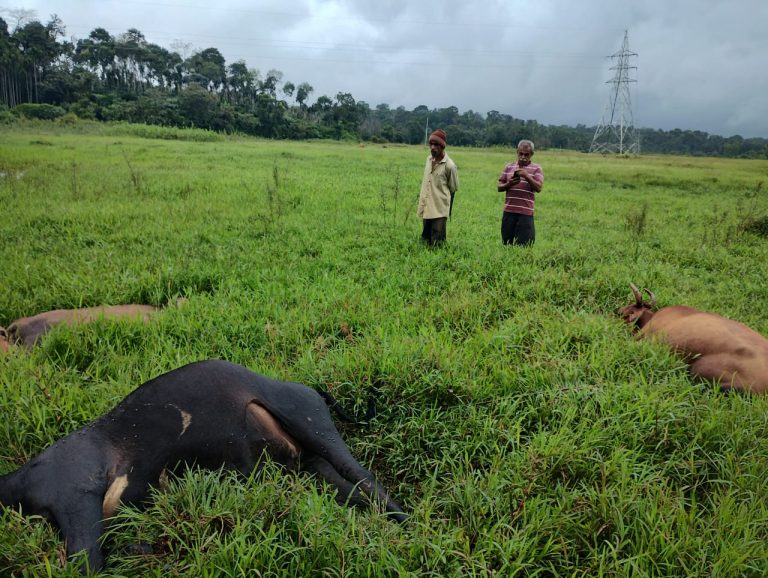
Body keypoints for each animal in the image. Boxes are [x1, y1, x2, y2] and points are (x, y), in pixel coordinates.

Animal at [0, 360, 408, 572]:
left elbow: (90, 560)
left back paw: (409, 525)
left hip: (310, 422)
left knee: (366, 478)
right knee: (352, 491)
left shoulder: (76, 494)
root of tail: (308, 387)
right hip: (310, 463)